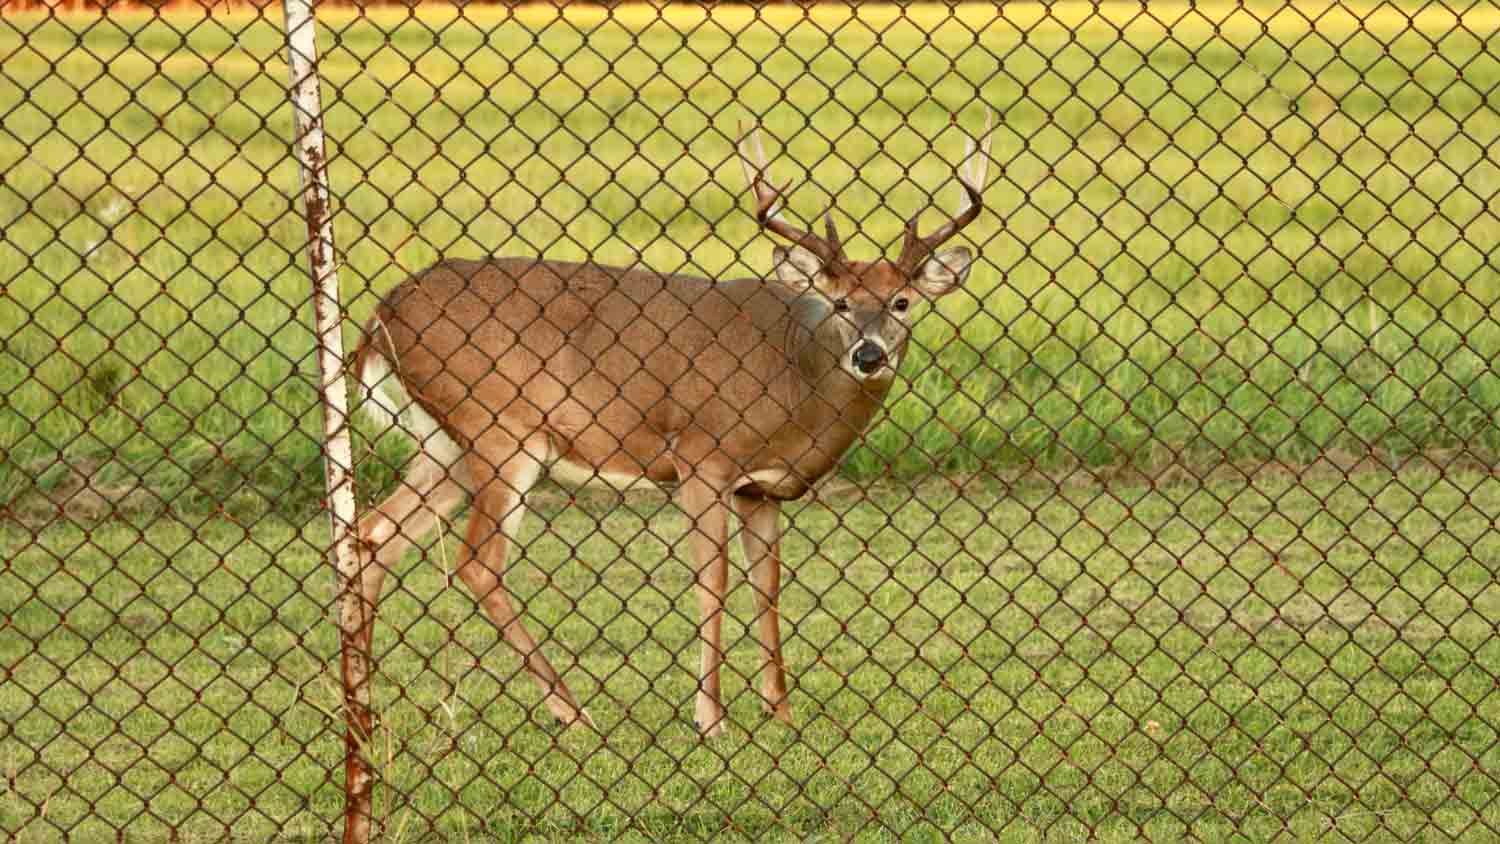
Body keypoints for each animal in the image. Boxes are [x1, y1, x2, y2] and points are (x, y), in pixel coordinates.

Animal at [349, 114, 993, 738]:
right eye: (839, 303)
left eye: (902, 301)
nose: (869, 355)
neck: (794, 375)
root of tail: (380, 314)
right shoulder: (702, 456)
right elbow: (714, 580)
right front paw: (711, 718)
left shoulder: (761, 490)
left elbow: (768, 586)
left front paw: (781, 711)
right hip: (500, 428)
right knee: (477, 563)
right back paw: (572, 711)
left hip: (447, 445)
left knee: (373, 536)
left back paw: (363, 707)